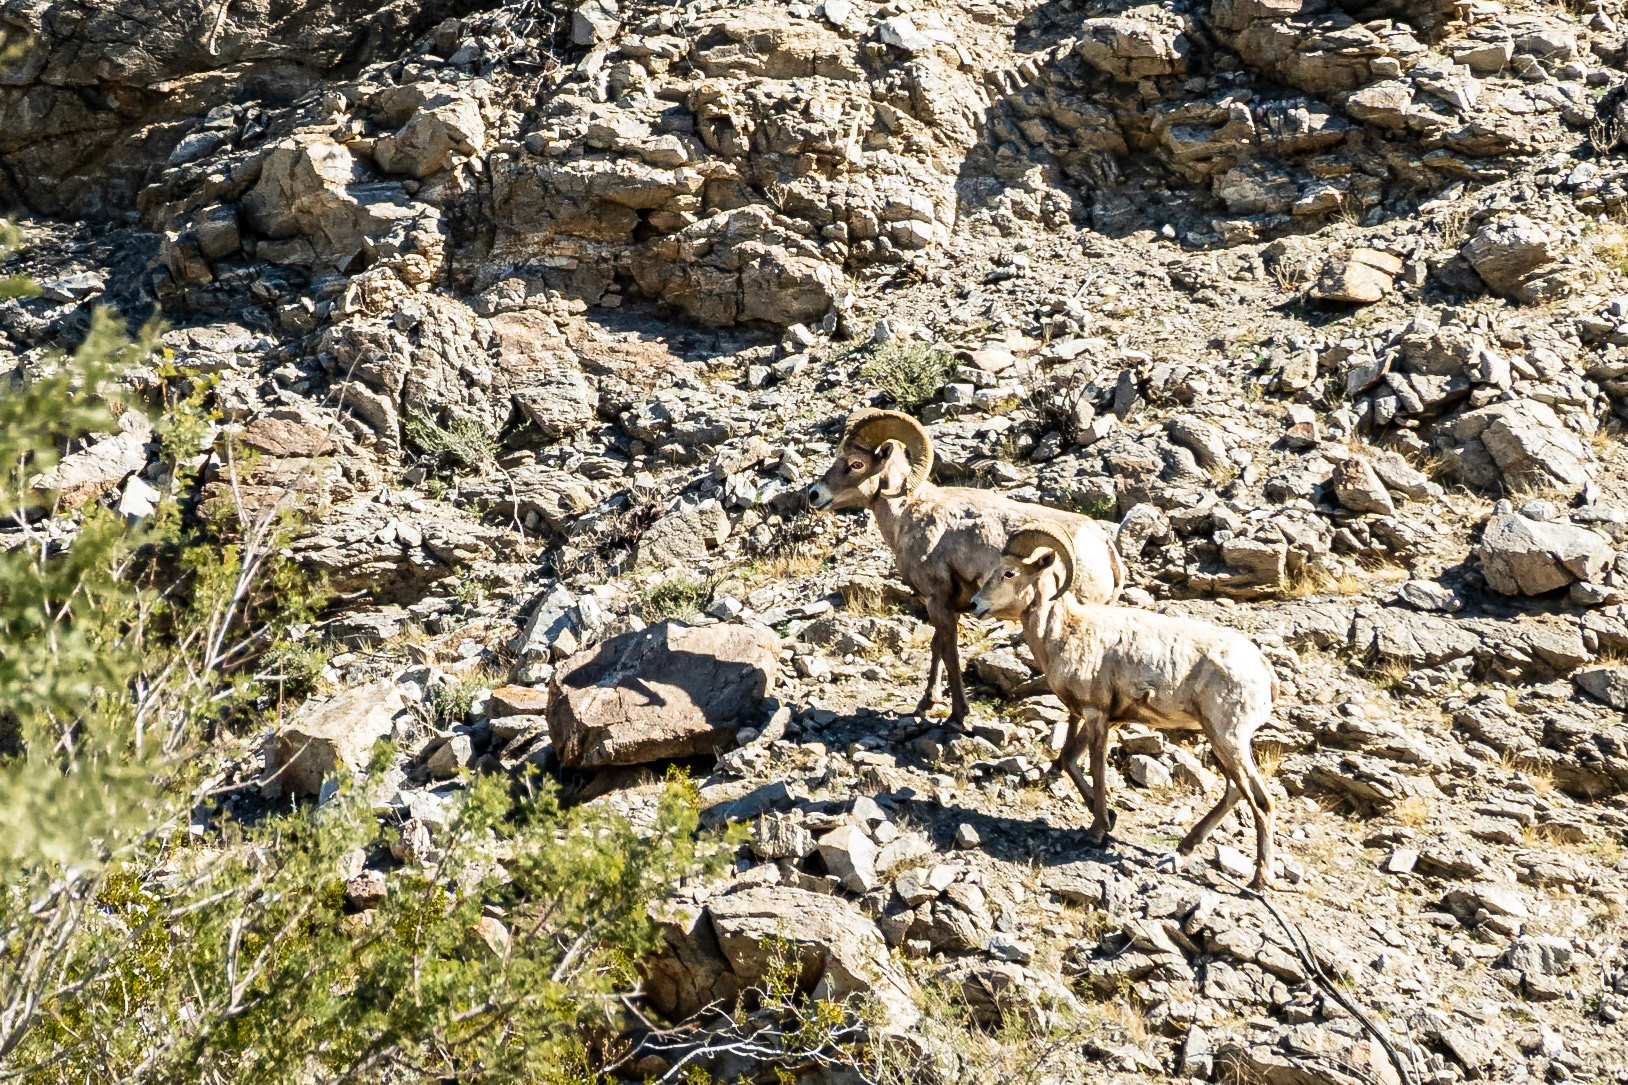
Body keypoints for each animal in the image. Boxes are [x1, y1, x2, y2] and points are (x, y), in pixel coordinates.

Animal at [808, 408, 1125, 724]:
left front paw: (957, 715)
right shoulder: (944, 605)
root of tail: (1104, 547)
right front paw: (927, 702)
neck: (907, 515)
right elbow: (937, 646)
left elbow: (950, 653)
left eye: (856, 464)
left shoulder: (938, 602)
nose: (814, 494)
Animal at [970, 522, 1278, 889]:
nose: (974, 605)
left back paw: (1258, 879)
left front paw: (1097, 831)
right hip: (1221, 742)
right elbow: (1068, 761)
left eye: (1009, 572)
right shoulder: (1096, 717)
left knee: (1260, 801)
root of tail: (1263, 670)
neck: (1066, 633)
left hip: (1229, 740)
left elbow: (1097, 769)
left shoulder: (1096, 715)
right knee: (1234, 792)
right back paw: (1182, 851)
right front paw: (1110, 819)